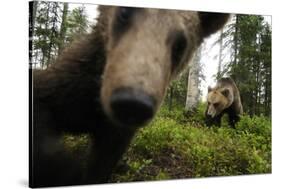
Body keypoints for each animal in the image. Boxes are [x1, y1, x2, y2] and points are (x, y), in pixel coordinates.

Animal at [29, 4, 229, 188]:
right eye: (125, 12)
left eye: (181, 43)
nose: (132, 103)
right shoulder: (69, 86)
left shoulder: (115, 134)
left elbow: (102, 164)